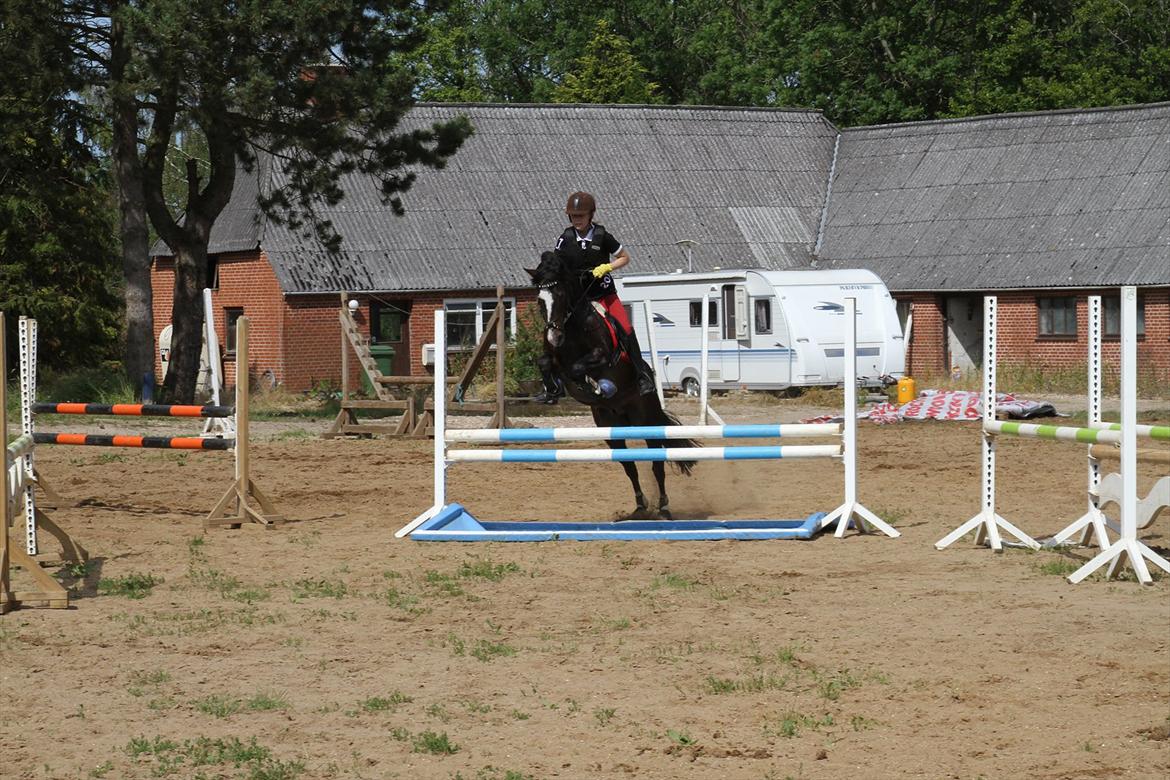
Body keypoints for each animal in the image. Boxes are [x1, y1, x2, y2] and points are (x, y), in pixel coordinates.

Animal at [528, 250, 692, 519]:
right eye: (540, 300)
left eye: (560, 295)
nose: (554, 336)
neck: (572, 328)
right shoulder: (554, 357)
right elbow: (547, 363)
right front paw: (552, 391)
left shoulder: (603, 355)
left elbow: (579, 368)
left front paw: (598, 385)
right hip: (611, 428)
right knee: (629, 466)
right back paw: (640, 506)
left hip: (646, 421)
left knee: (657, 463)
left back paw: (664, 507)